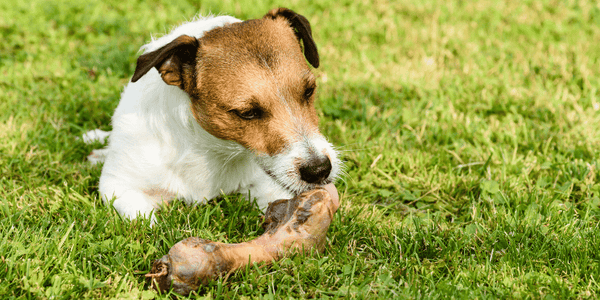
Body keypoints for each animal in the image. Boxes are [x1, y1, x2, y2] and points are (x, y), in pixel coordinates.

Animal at [82, 7, 340, 223]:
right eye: (247, 113)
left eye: (309, 91)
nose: (319, 170)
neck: (209, 149)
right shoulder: (119, 186)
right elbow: (146, 223)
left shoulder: (268, 186)